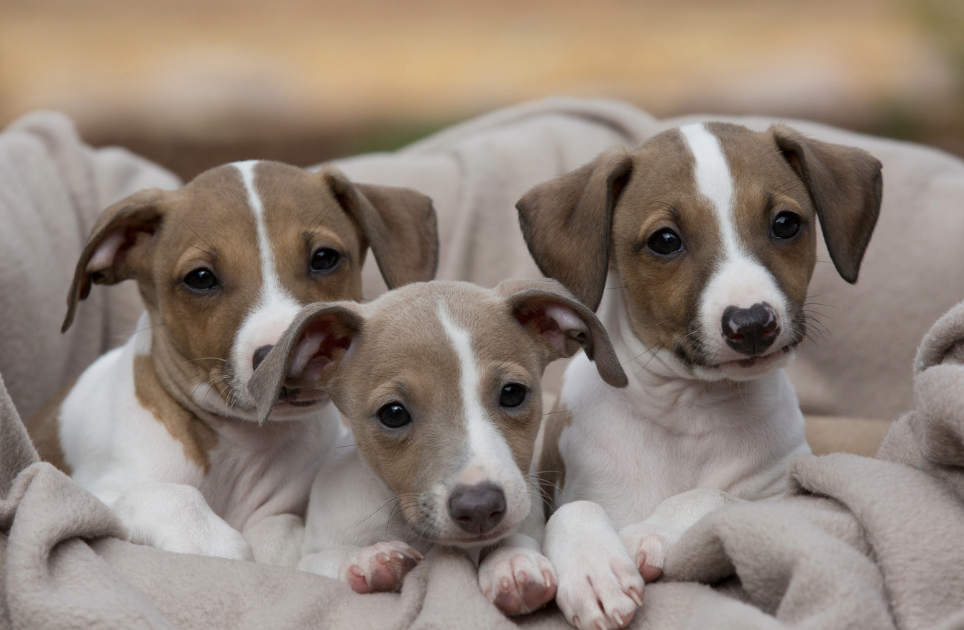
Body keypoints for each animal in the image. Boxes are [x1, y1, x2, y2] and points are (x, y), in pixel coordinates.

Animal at [25, 160, 440, 560]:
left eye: (324, 258)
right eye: (200, 278)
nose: (284, 359)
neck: (242, 447)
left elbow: (281, 531)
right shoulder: (86, 489)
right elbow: (168, 494)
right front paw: (214, 545)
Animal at [245, 280, 628, 616]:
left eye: (513, 393)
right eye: (393, 414)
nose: (479, 507)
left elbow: (517, 536)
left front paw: (510, 560)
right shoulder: (308, 556)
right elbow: (325, 559)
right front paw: (368, 559)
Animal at [516, 123, 884, 630]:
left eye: (785, 224)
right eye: (665, 240)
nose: (752, 323)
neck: (691, 411)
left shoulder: (787, 498)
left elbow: (715, 498)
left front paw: (649, 533)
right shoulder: (588, 484)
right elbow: (573, 509)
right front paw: (594, 571)